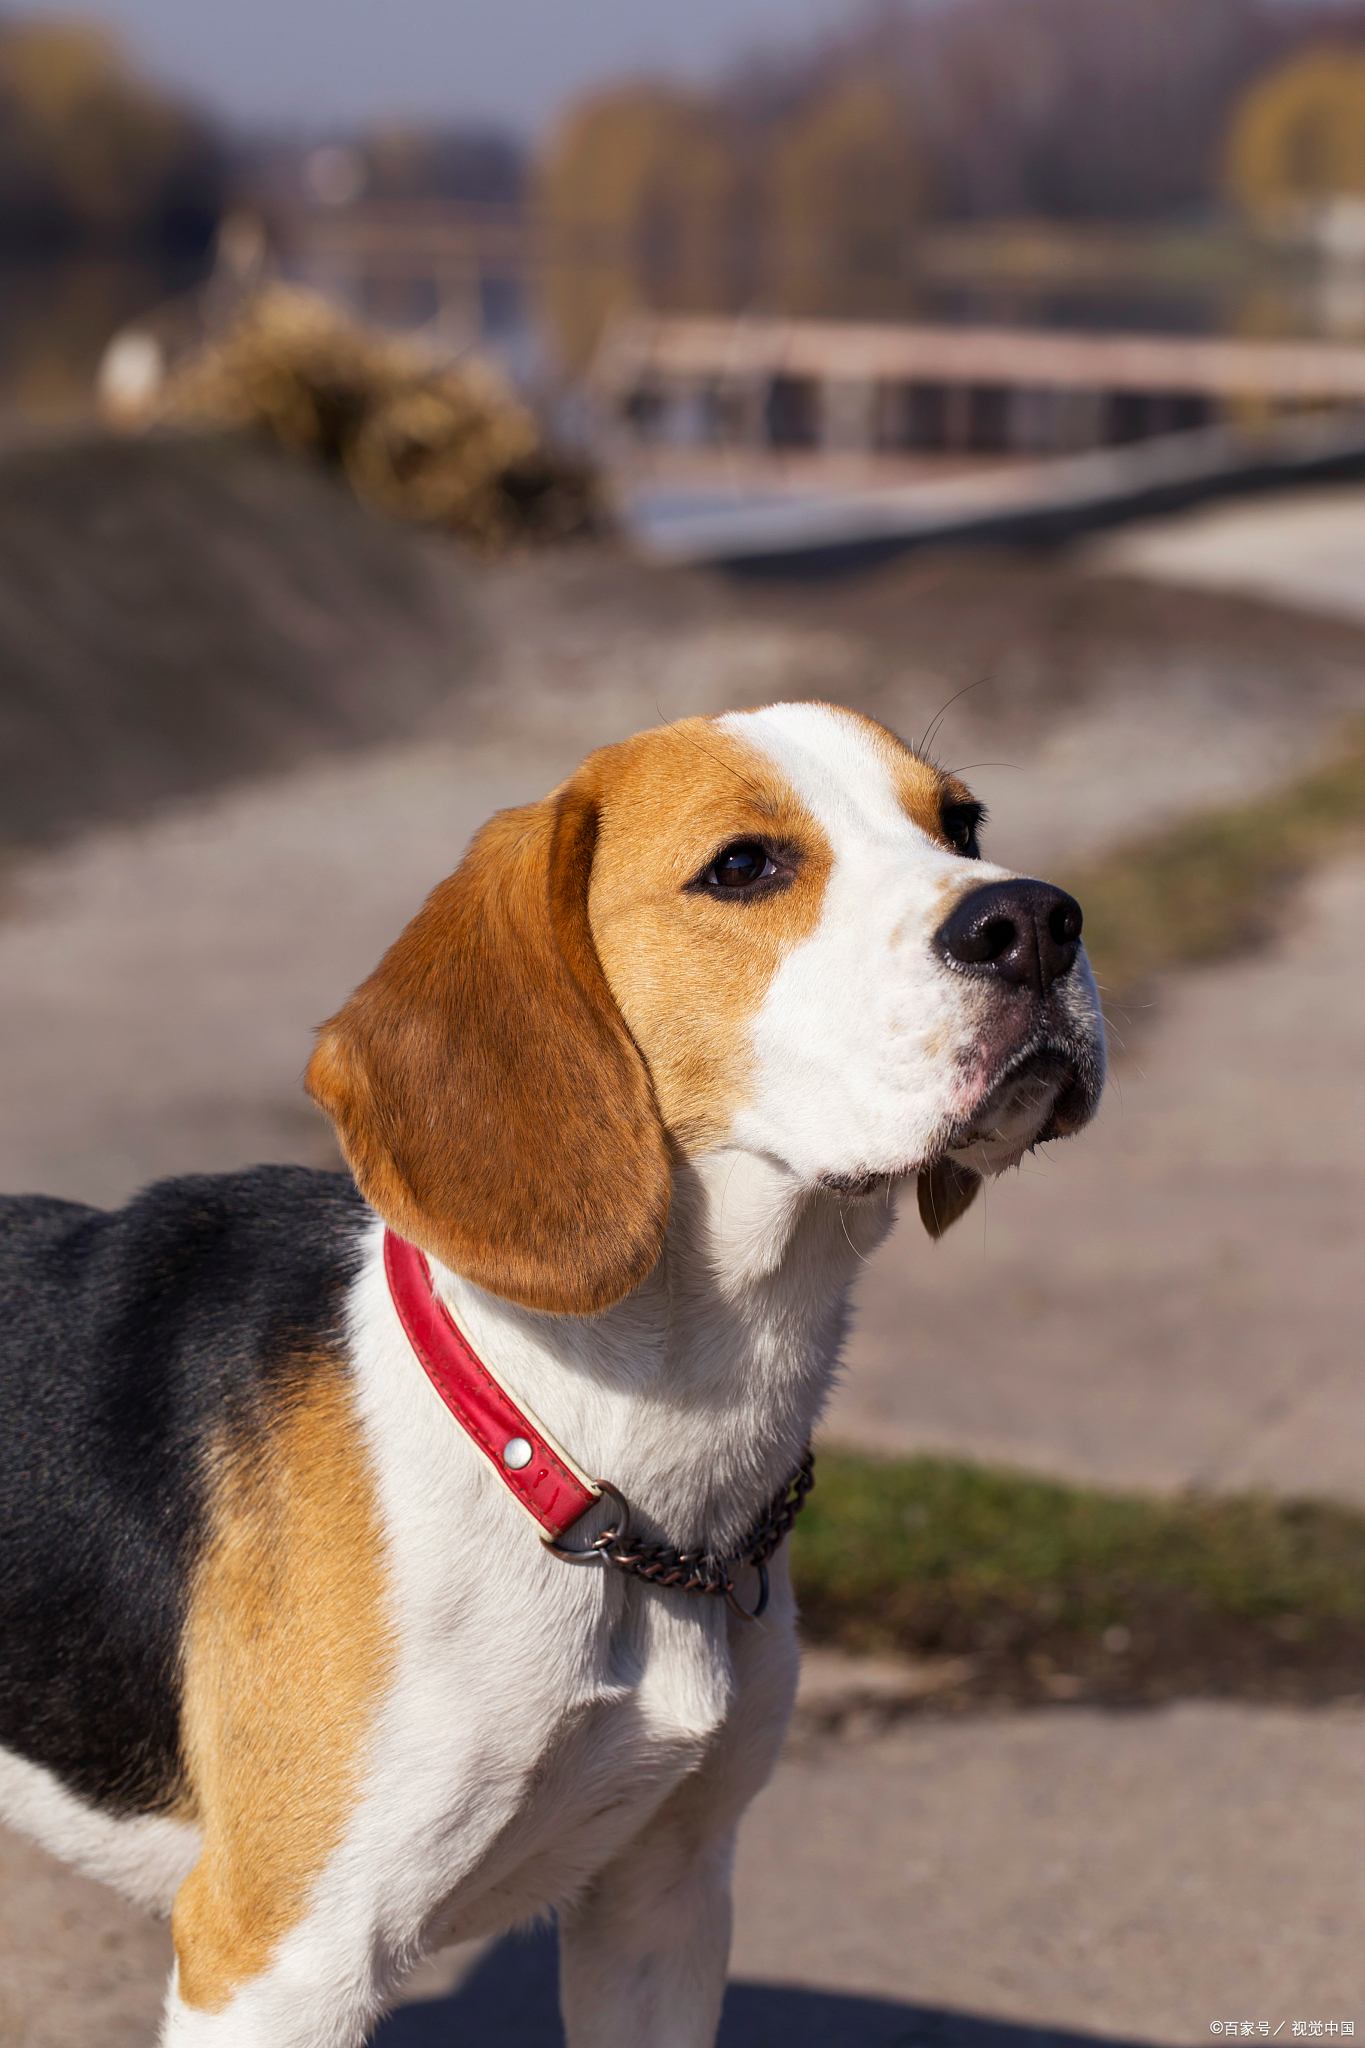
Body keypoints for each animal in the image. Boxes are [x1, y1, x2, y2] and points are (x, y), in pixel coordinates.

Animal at [0, 708, 1105, 2048]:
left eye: (963, 826)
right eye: (743, 866)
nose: (1038, 919)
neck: (586, 1455)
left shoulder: (663, 1900)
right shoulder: (280, 1963)